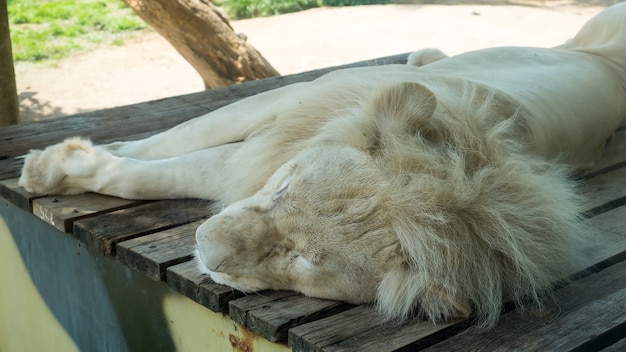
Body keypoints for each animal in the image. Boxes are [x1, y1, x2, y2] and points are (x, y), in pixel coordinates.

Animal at [17, 3, 624, 328]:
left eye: (303, 259)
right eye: (284, 188)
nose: (205, 248)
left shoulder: (261, 141)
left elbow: (167, 169)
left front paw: (63, 165)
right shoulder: (286, 103)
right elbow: (168, 140)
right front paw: (57, 160)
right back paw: (421, 55)